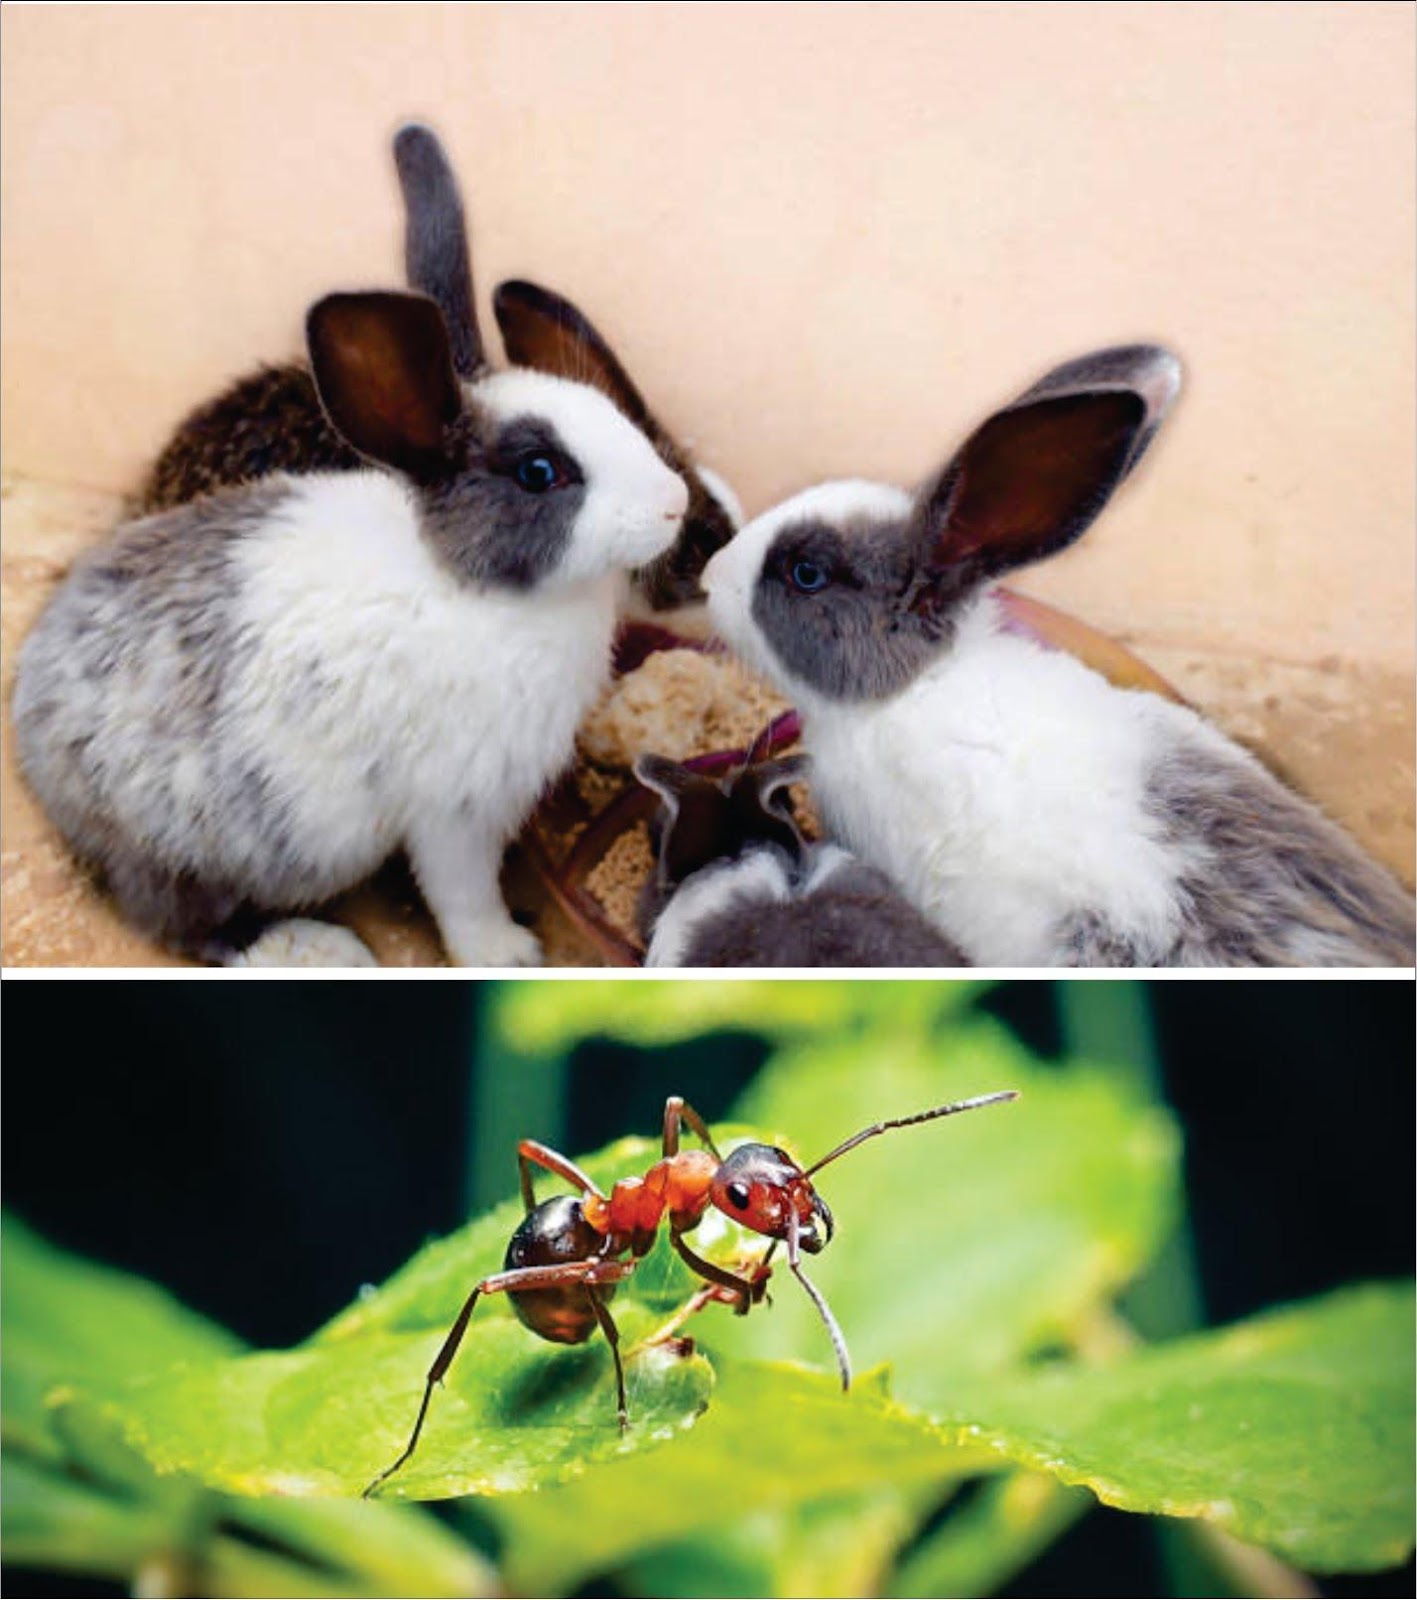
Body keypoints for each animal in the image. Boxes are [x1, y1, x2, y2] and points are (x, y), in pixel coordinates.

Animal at [13, 289, 688, 968]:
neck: (466, 582)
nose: (675, 502)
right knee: (182, 924)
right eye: (539, 471)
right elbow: (463, 891)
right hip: (192, 853)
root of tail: (34, 730)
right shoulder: (455, 808)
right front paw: (507, 953)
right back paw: (312, 948)